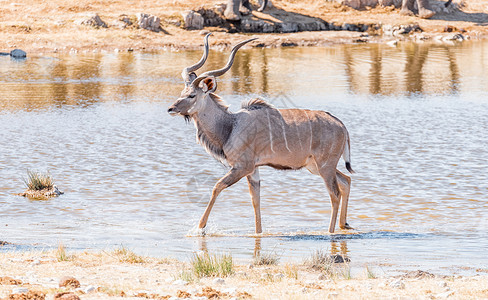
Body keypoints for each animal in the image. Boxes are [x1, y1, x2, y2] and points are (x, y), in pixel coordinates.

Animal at [169, 34, 354, 233]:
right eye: (182, 92)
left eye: (192, 95)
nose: (171, 108)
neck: (231, 125)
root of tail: (341, 126)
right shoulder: (253, 170)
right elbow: (255, 200)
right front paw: (258, 233)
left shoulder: (243, 167)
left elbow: (217, 187)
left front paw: (200, 228)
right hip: (316, 166)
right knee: (346, 181)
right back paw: (344, 224)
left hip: (324, 167)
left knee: (335, 193)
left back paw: (330, 232)